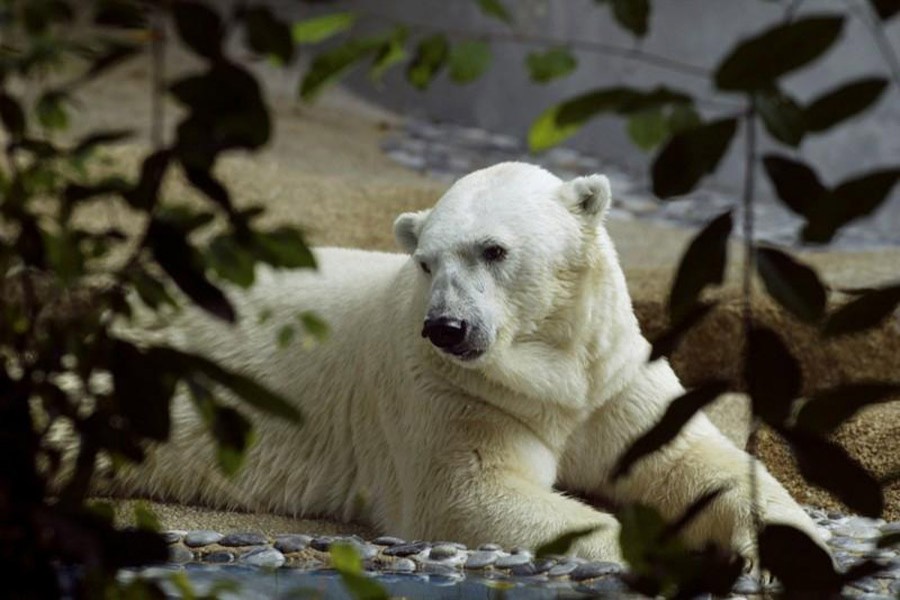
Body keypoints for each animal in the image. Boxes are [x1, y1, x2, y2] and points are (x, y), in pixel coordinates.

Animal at [116, 163, 828, 564]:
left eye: (493, 249)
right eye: (425, 262)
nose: (446, 327)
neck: (552, 368)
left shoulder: (614, 378)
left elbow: (694, 461)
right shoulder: (445, 389)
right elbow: (472, 491)